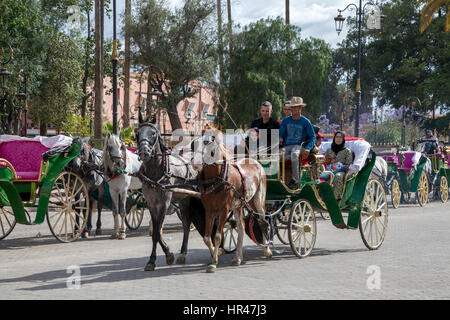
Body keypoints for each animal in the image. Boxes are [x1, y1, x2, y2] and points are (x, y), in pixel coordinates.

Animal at [201, 129, 272, 272]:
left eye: (213, 142)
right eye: (202, 141)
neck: (217, 179)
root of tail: (255, 161)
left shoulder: (224, 210)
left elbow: (217, 236)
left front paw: (214, 262)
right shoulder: (209, 210)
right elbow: (207, 238)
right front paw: (217, 253)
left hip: (258, 200)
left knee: (262, 222)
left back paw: (267, 250)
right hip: (239, 205)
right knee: (241, 227)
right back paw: (238, 257)